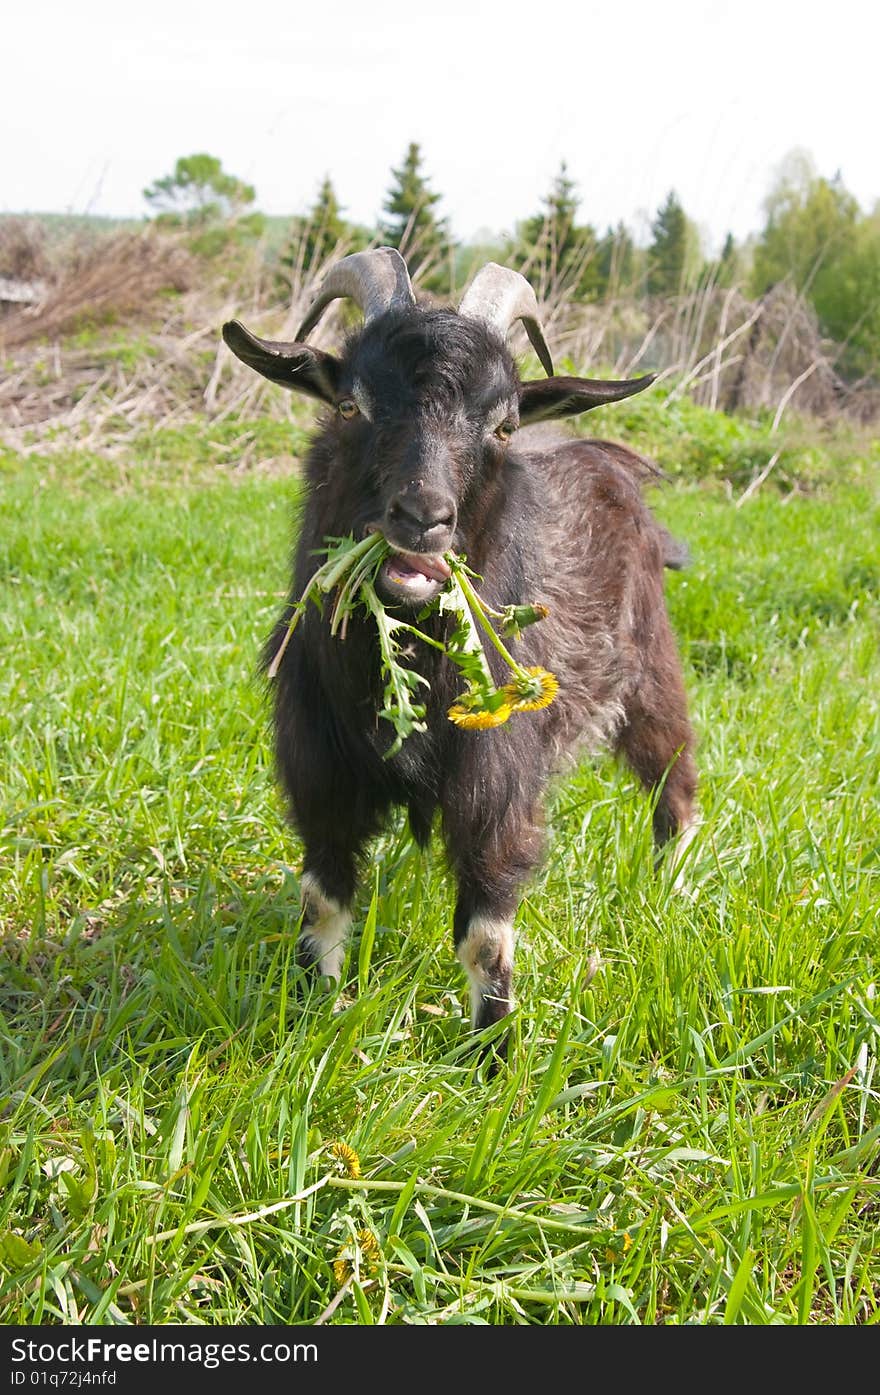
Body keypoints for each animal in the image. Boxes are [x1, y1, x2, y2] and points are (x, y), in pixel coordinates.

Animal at [223, 253, 700, 1054]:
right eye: (349, 406)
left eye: (502, 425)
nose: (423, 516)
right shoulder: (319, 766)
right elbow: (322, 900)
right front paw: (313, 1014)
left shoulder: (496, 778)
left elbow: (485, 933)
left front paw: (493, 1056)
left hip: (651, 672)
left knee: (676, 784)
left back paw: (673, 891)